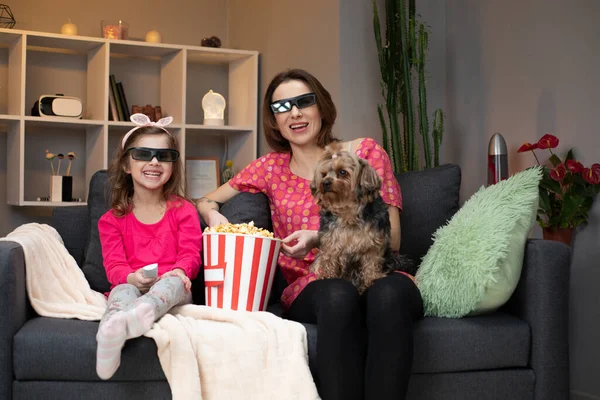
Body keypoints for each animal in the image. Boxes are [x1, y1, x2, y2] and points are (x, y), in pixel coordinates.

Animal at [310, 144, 412, 294]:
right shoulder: (331, 241)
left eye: (342, 172)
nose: (325, 183)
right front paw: (326, 275)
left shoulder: (373, 244)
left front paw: (371, 280)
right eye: (323, 175)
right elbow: (329, 258)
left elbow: (371, 263)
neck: (348, 212)